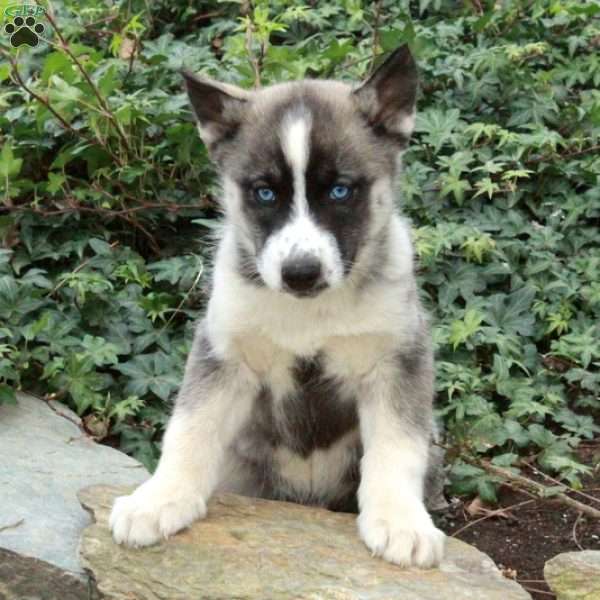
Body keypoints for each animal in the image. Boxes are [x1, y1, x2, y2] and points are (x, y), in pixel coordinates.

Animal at [109, 45, 446, 568]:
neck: (310, 312)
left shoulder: (398, 359)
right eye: (264, 192)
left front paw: (400, 522)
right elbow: (189, 429)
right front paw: (159, 500)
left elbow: (396, 446)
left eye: (340, 190)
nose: (300, 273)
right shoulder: (222, 354)